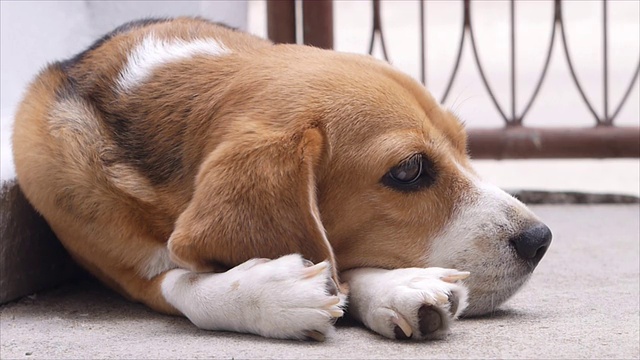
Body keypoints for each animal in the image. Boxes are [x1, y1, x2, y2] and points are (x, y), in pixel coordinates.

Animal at [11, 16, 552, 342]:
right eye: (409, 170)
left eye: (464, 145)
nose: (541, 239)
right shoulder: (121, 265)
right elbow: (185, 284)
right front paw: (273, 295)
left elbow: (339, 264)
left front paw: (396, 287)